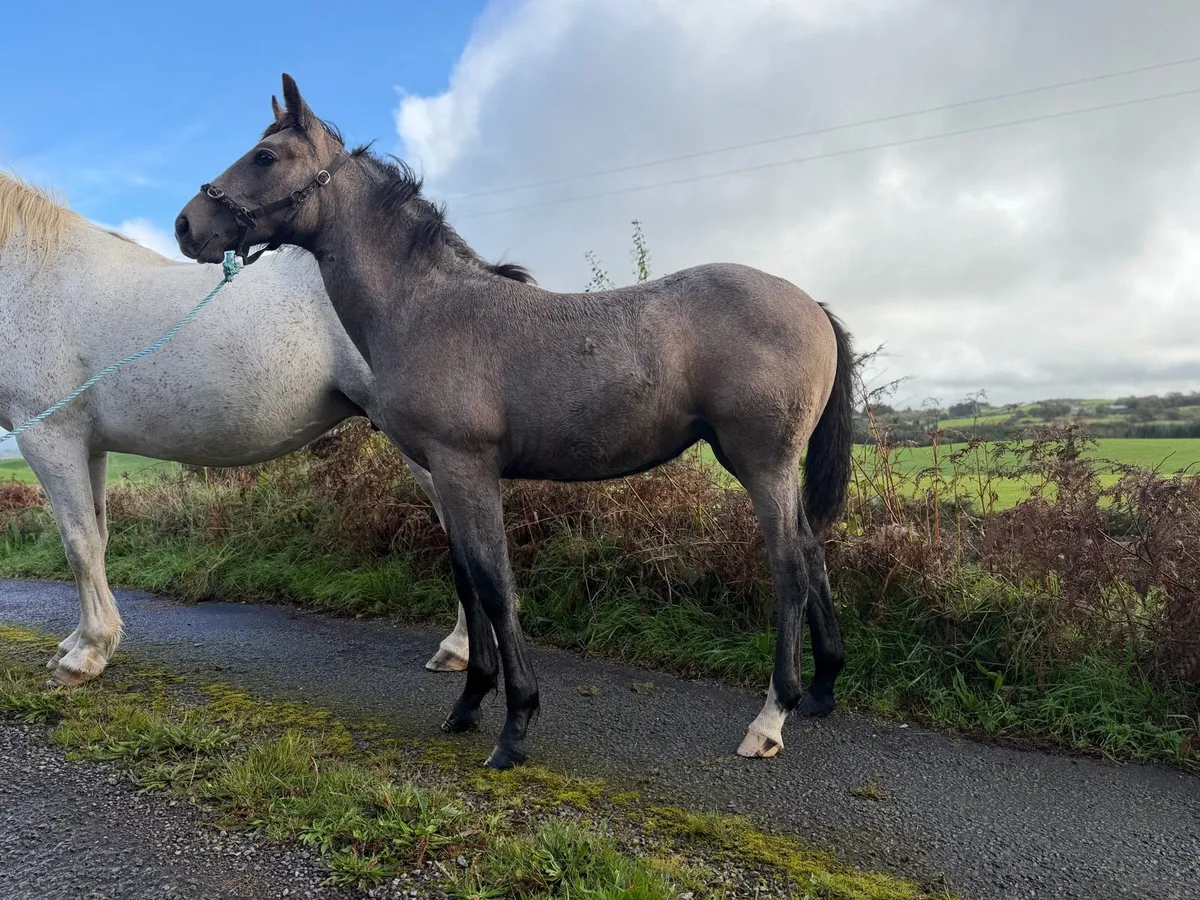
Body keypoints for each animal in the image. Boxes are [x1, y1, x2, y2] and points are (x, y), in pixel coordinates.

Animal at [0, 170, 501, 685]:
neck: (30, 275)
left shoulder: (48, 436)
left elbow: (78, 546)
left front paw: (85, 656)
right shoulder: (88, 446)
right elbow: (97, 539)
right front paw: (78, 642)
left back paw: (460, 648)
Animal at [175, 74, 855, 770]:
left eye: (265, 157)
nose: (185, 224)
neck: (427, 308)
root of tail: (812, 305)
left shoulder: (465, 468)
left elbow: (494, 582)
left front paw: (515, 724)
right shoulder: (443, 474)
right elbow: (467, 577)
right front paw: (469, 702)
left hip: (761, 462)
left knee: (790, 568)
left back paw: (771, 717)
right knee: (812, 550)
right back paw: (821, 689)